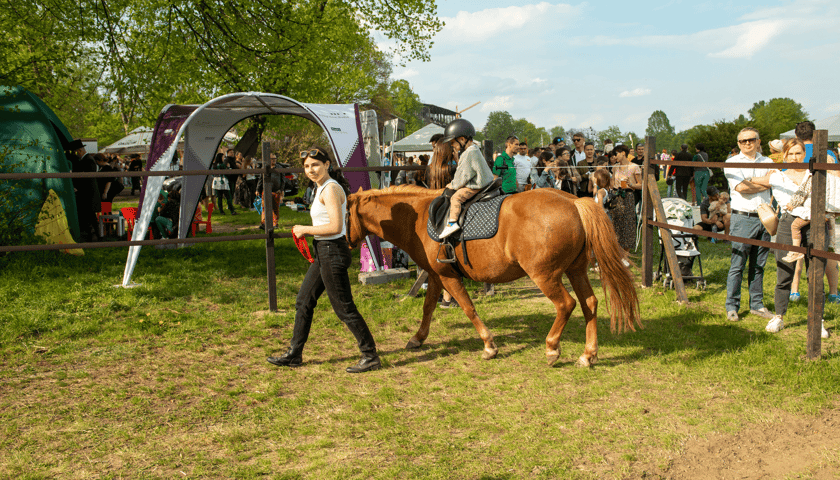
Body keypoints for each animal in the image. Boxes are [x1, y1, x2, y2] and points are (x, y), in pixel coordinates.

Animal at [344, 186, 640, 366]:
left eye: (345, 213)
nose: (346, 241)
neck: (418, 218)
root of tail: (573, 201)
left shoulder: (448, 277)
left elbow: (468, 308)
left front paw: (489, 345)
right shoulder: (437, 275)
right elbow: (428, 307)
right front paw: (418, 338)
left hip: (545, 276)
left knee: (566, 304)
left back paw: (552, 347)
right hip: (575, 270)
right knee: (590, 303)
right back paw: (588, 354)